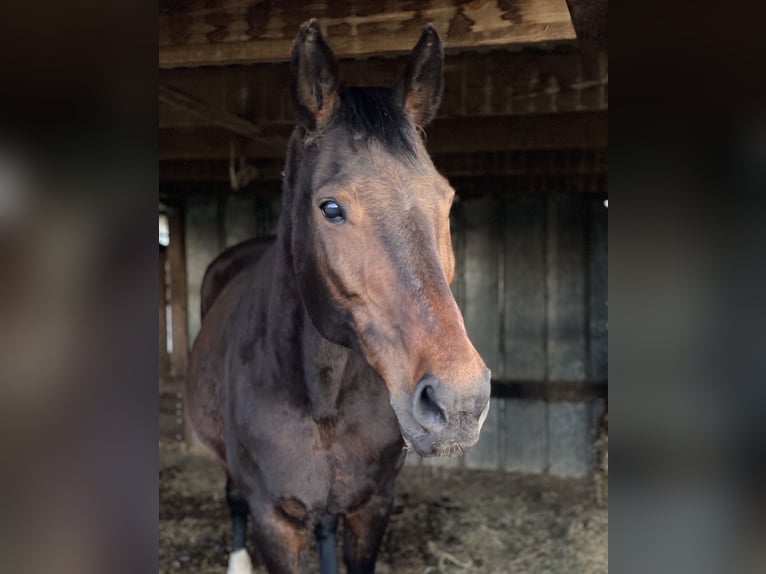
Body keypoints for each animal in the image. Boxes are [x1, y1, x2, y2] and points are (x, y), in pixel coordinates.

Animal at [186, 20, 492, 574]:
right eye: (331, 208)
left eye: (447, 200)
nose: (459, 402)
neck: (321, 399)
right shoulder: (275, 522)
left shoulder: (371, 508)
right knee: (232, 498)